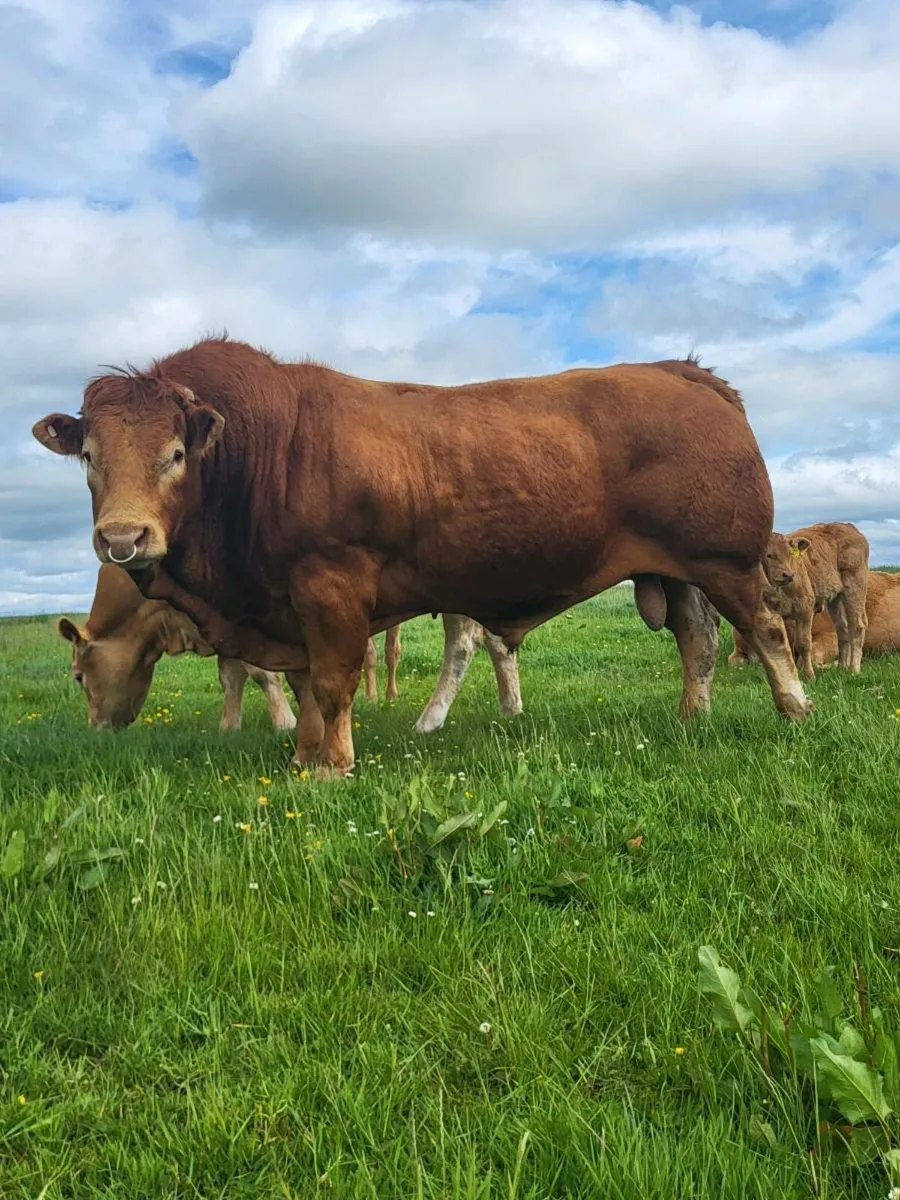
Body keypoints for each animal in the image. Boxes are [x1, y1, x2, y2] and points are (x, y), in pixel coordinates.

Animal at [32, 338, 811, 775]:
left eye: (174, 454)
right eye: (91, 457)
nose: (124, 538)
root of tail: (684, 373)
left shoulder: (330, 589)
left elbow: (332, 684)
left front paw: (332, 768)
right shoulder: (286, 609)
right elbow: (305, 688)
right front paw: (305, 755)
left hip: (725, 561)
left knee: (766, 632)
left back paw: (795, 709)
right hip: (676, 573)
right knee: (697, 640)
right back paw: (690, 717)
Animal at [729, 522, 869, 679]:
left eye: (790, 554)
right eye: (769, 555)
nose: (788, 575)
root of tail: (848, 526)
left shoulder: (805, 609)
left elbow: (803, 644)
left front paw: (809, 675)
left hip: (855, 586)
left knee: (857, 626)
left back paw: (853, 670)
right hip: (835, 598)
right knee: (842, 629)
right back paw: (841, 667)